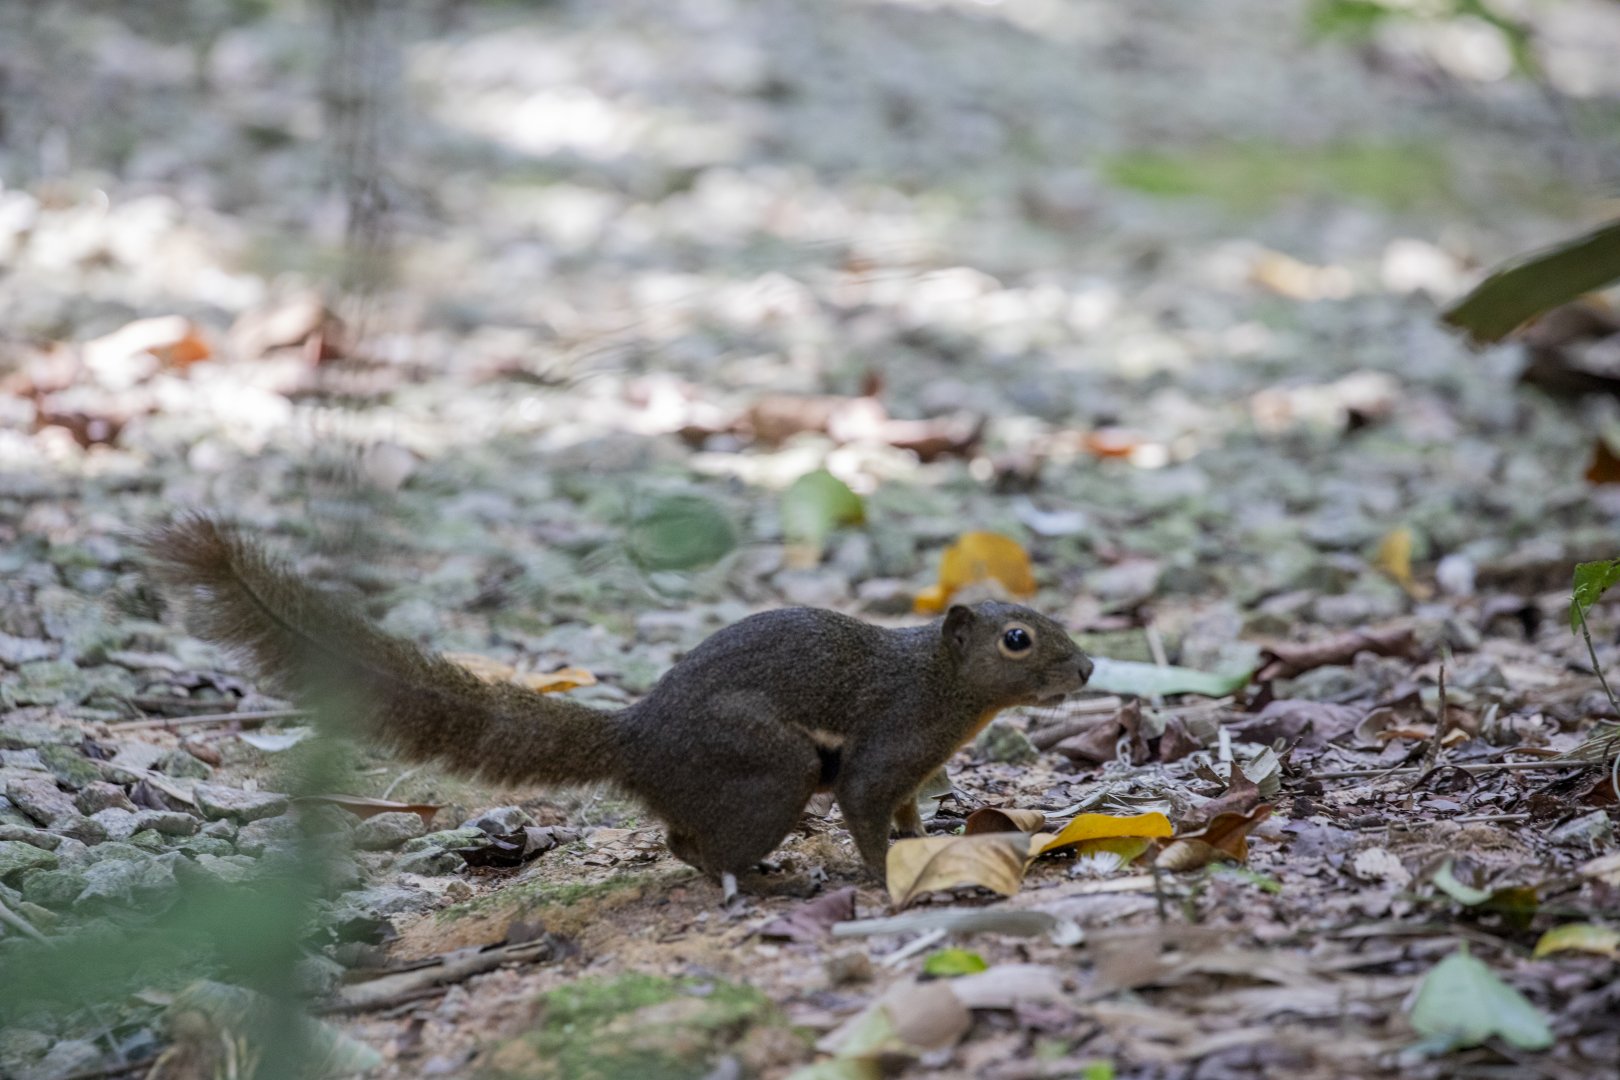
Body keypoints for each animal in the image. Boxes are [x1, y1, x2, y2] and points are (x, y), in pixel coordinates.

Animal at [142, 514, 1094, 881]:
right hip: (772, 766)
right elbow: (864, 810)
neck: (938, 687)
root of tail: (636, 738)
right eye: (1018, 639)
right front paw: (877, 873)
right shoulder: (887, 743)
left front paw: (924, 843)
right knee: (692, 841)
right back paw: (755, 877)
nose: (1087, 671)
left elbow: (903, 812)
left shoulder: (910, 771)